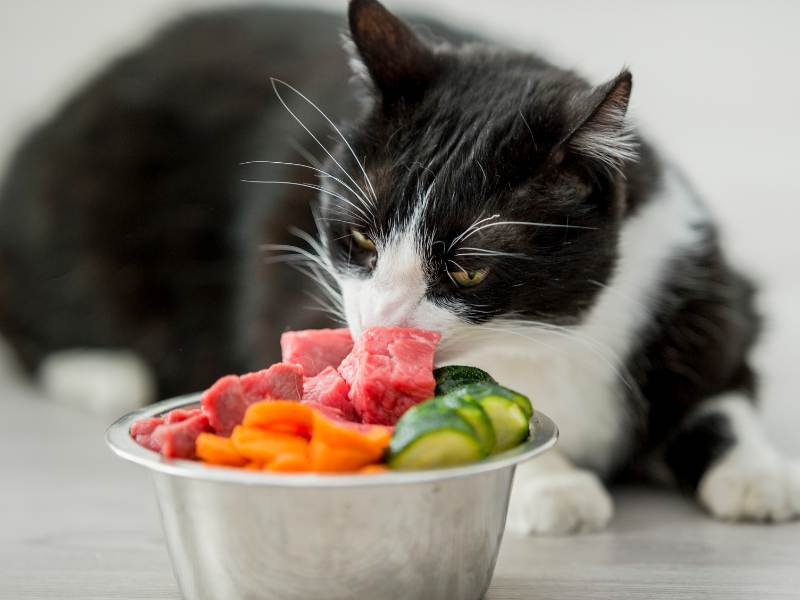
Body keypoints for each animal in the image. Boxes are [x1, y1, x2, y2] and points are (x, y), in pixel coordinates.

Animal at [0, 0, 796, 536]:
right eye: (358, 238)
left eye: (469, 272)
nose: (378, 326)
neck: (547, 330)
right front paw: (555, 486)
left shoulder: (706, 290)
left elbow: (725, 393)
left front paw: (759, 475)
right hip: (82, 206)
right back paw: (102, 370)